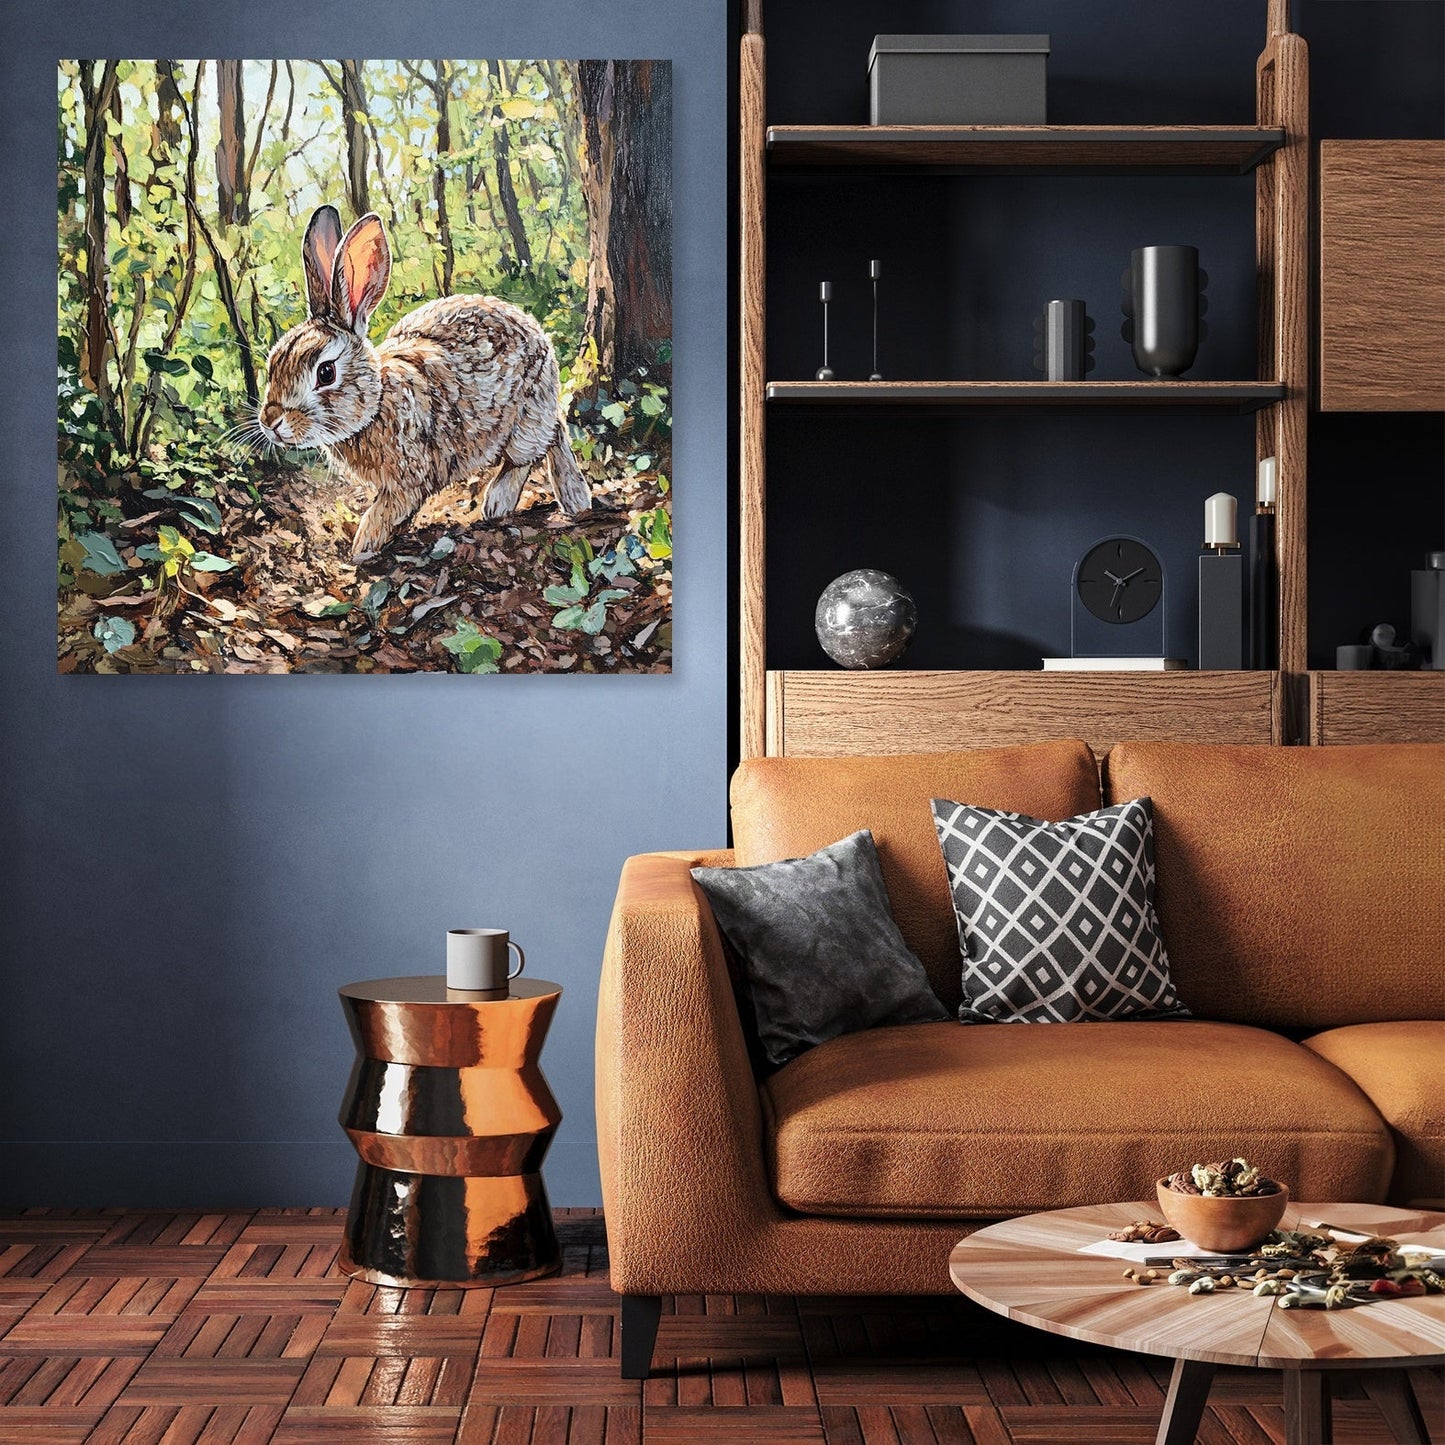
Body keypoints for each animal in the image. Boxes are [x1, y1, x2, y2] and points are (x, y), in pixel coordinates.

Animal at [257, 205, 591, 560]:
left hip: (528, 413)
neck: (377, 403)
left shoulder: (409, 479)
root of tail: (535, 329)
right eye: (273, 363)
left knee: (546, 439)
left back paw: (556, 499)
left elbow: (385, 511)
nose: (270, 422)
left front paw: (362, 547)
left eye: (326, 373)